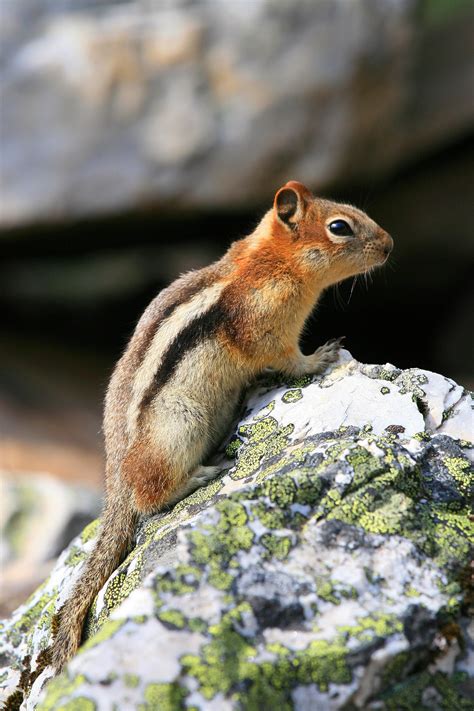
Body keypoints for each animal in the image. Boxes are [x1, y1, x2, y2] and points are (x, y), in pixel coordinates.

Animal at [49, 181, 392, 672]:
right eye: (340, 227)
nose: (389, 245)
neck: (273, 262)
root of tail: (114, 476)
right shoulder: (267, 329)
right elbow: (289, 359)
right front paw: (321, 357)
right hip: (179, 428)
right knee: (149, 497)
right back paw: (200, 475)